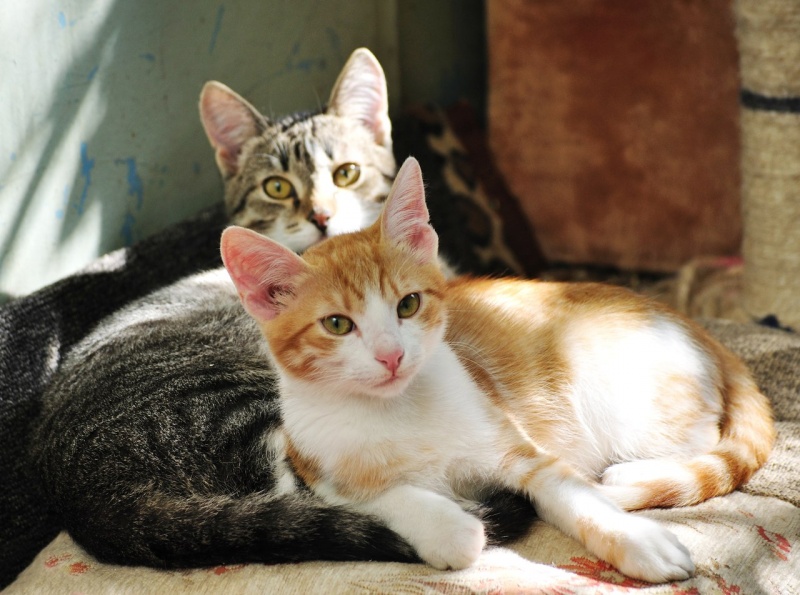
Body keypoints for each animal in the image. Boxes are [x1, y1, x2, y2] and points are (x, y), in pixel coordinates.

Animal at [31, 49, 531, 569]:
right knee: (322, 487)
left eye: (347, 173)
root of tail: (89, 496)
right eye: (276, 187)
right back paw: (450, 527)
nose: (321, 216)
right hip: (239, 407)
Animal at [221, 157, 776, 583]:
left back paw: (630, 475)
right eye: (337, 324)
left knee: (705, 439)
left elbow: (569, 492)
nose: (391, 355)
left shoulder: (518, 446)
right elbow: (377, 498)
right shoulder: (312, 467)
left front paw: (637, 540)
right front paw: (451, 529)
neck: (397, 411)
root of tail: (686, 318)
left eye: (408, 304)